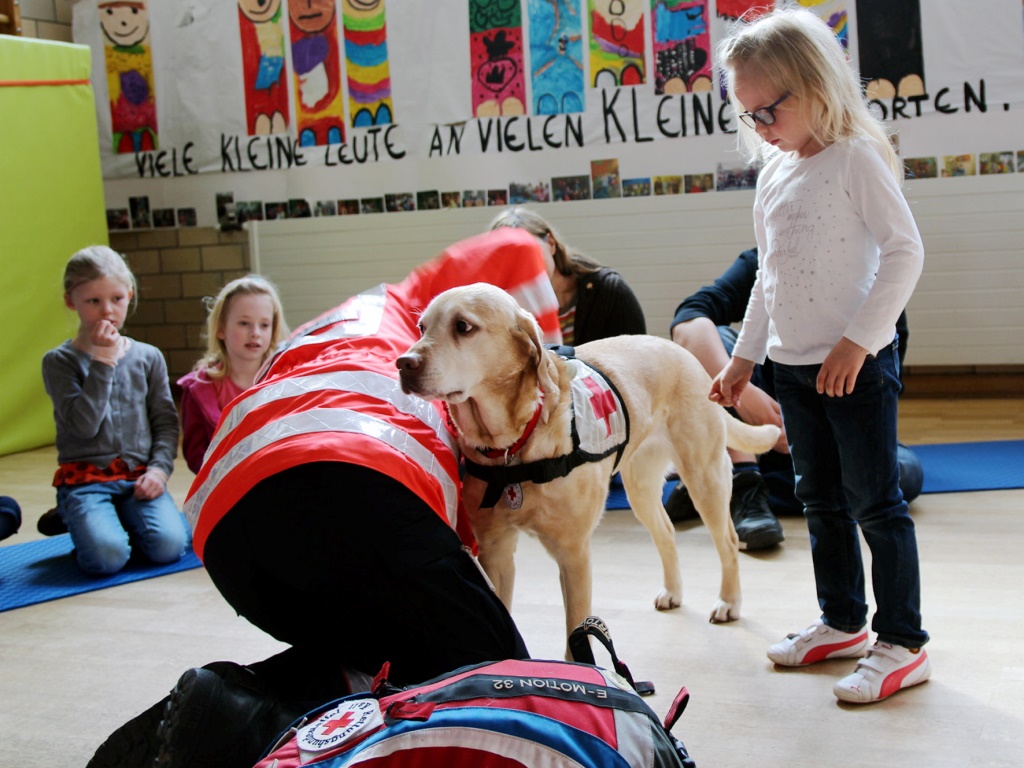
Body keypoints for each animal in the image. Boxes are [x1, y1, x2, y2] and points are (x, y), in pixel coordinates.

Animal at [397, 283, 780, 642]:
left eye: (463, 326)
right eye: (421, 327)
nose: (403, 363)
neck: (514, 446)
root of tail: (688, 357)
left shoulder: (574, 554)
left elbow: (576, 636)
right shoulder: (496, 552)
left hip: (704, 478)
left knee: (728, 542)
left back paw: (729, 601)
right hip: (641, 489)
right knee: (667, 533)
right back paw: (673, 591)